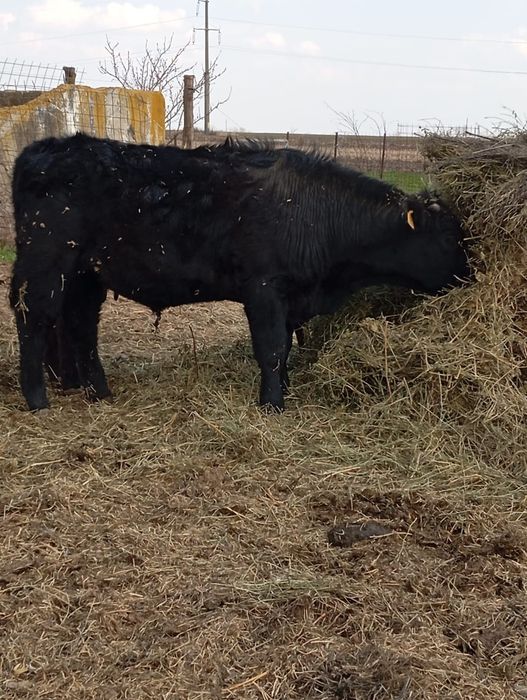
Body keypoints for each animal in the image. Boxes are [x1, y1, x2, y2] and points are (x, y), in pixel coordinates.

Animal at [10, 133, 469, 412]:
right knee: (33, 316)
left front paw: (284, 390)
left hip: (85, 274)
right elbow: (271, 348)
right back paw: (37, 399)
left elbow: (285, 348)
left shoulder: (289, 297)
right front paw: (272, 404)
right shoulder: (264, 287)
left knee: (80, 325)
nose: (469, 274)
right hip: (46, 262)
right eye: (450, 237)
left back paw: (98, 392)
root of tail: (47, 148)